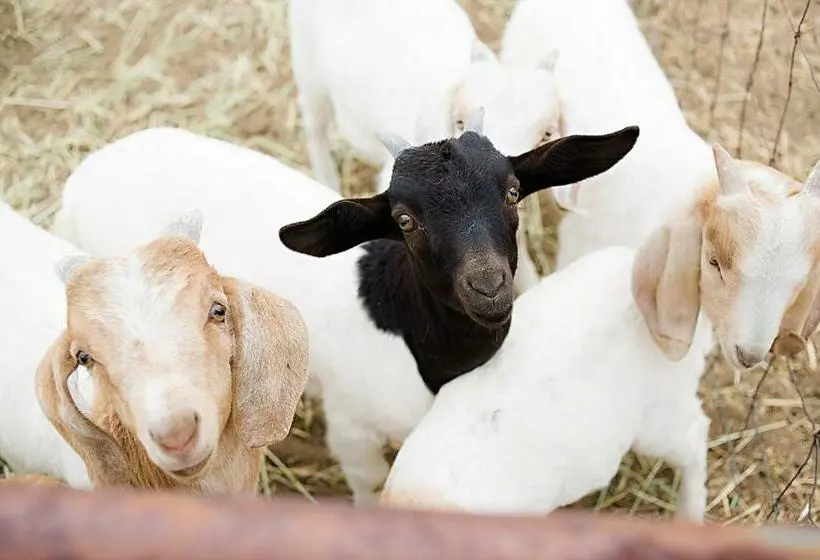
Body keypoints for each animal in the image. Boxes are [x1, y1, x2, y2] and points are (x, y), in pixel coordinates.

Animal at [51, 123, 639, 504]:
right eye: (404, 220)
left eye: (514, 192)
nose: (488, 285)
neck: (400, 324)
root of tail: (86, 171)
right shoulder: (353, 427)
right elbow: (368, 483)